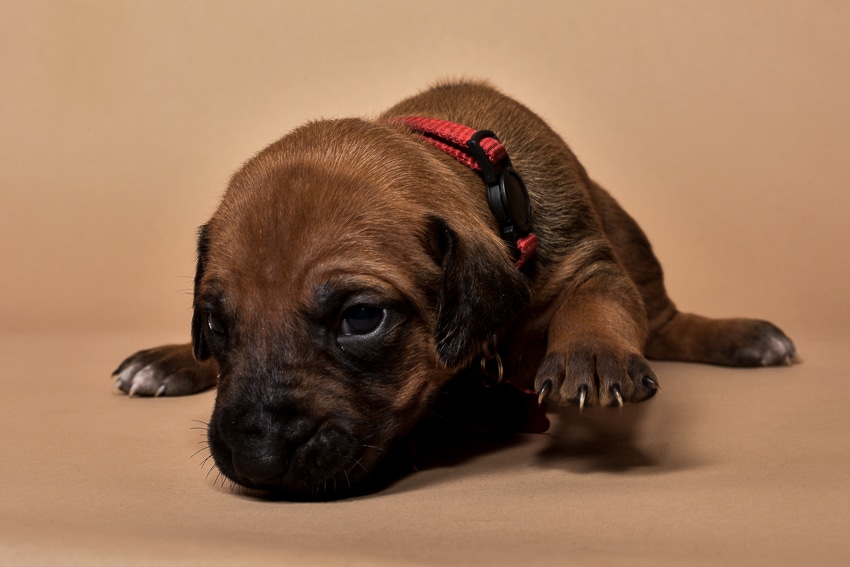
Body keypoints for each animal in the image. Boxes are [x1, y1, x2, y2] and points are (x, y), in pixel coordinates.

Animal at [112, 80, 796, 496]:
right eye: (215, 323)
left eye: (362, 318)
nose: (254, 460)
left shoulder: (588, 258)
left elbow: (598, 301)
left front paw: (593, 354)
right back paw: (165, 362)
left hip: (635, 246)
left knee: (665, 322)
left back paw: (742, 337)